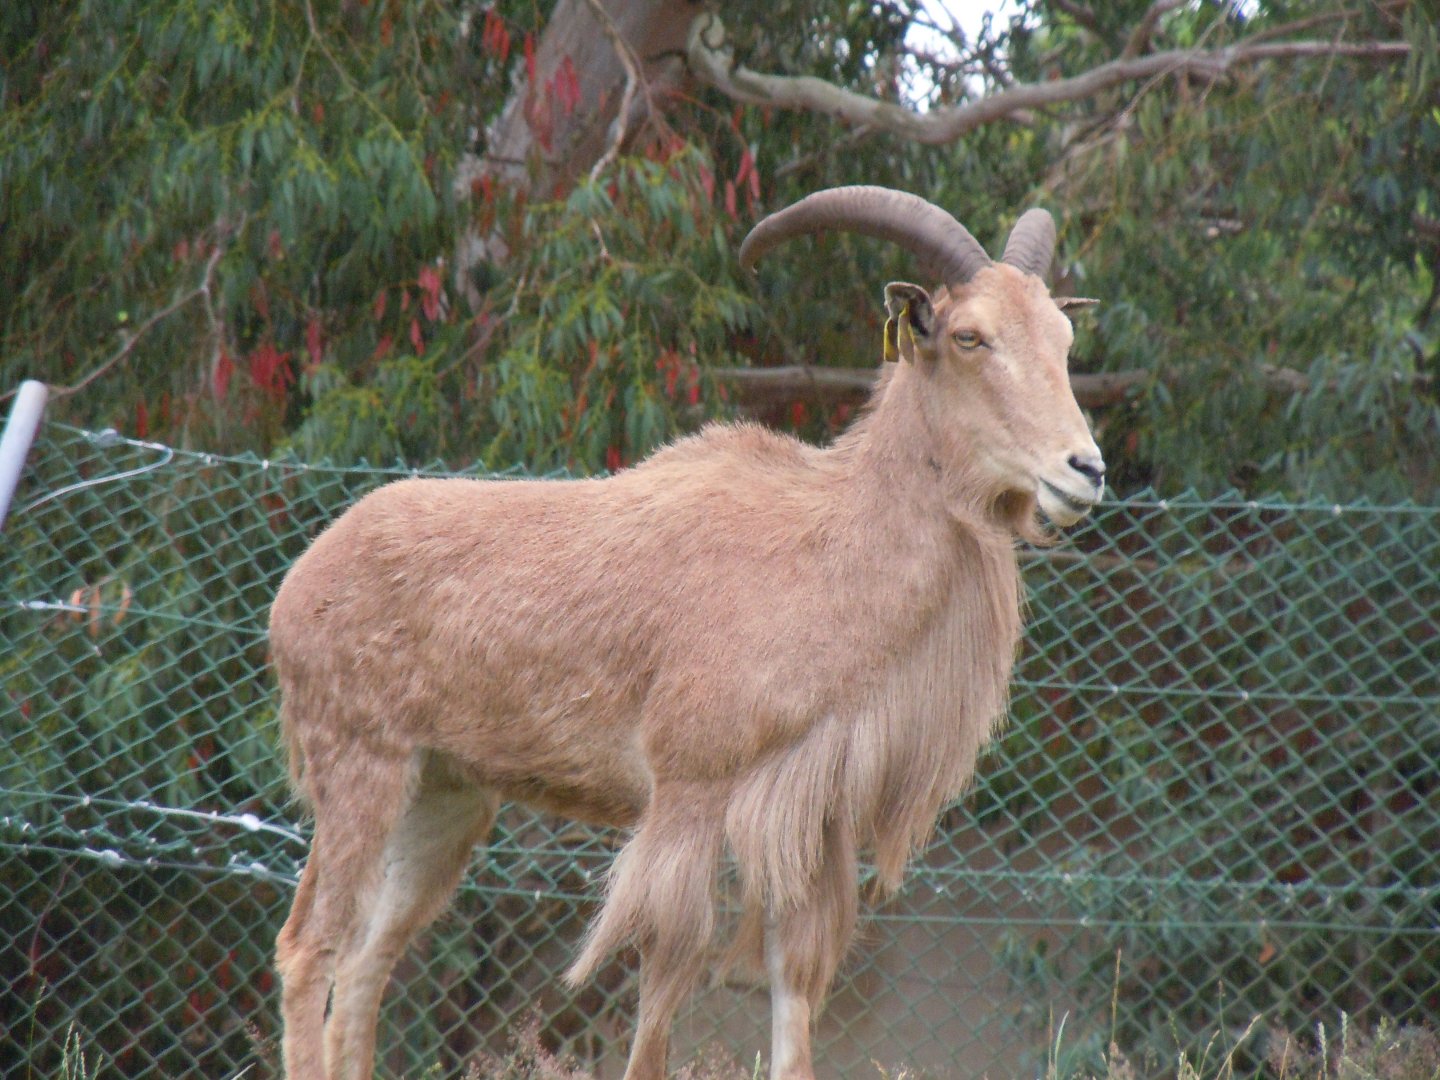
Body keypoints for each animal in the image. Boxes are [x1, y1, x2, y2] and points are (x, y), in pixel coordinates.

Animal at [269, 184, 1106, 1080]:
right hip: (360, 765)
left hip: (443, 795)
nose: (1084, 470)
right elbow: (665, 981)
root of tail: (300, 583)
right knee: (311, 947)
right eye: (969, 336)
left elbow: (792, 988)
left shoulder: (810, 823)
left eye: (1063, 339)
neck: (826, 550)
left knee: (367, 961)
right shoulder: (689, 794)